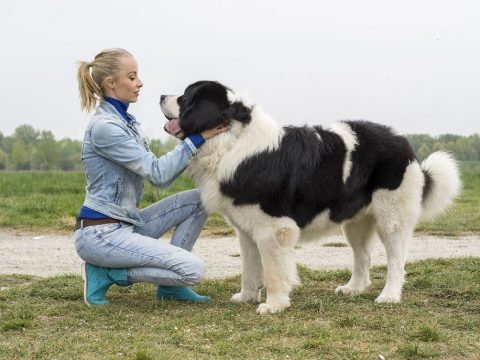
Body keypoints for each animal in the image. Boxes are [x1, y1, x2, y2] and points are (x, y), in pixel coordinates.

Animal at [161, 80, 462, 314]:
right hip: (355, 221)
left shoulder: (273, 228)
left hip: (392, 217)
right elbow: (249, 267)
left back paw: (389, 296)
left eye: (185, 97)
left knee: (396, 260)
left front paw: (274, 304)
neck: (232, 142)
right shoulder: (246, 229)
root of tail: (403, 142)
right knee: (363, 256)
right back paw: (353, 289)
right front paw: (246, 296)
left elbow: (273, 270)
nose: (161, 96)